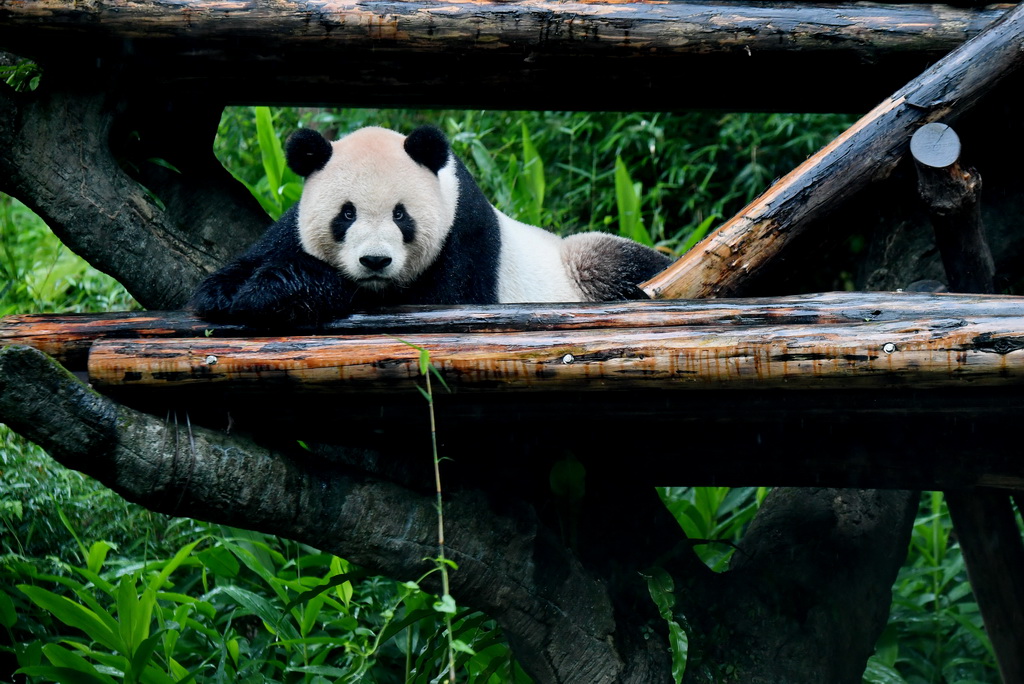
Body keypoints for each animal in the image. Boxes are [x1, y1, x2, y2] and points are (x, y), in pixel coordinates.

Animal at [189, 125, 675, 325]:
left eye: (401, 215)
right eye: (346, 214)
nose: (375, 261)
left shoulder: (465, 241)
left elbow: (435, 298)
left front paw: (271, 292)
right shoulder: (291, 227)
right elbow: (247, 262)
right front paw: (233, 289)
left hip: (582, 264)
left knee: (622, 263)